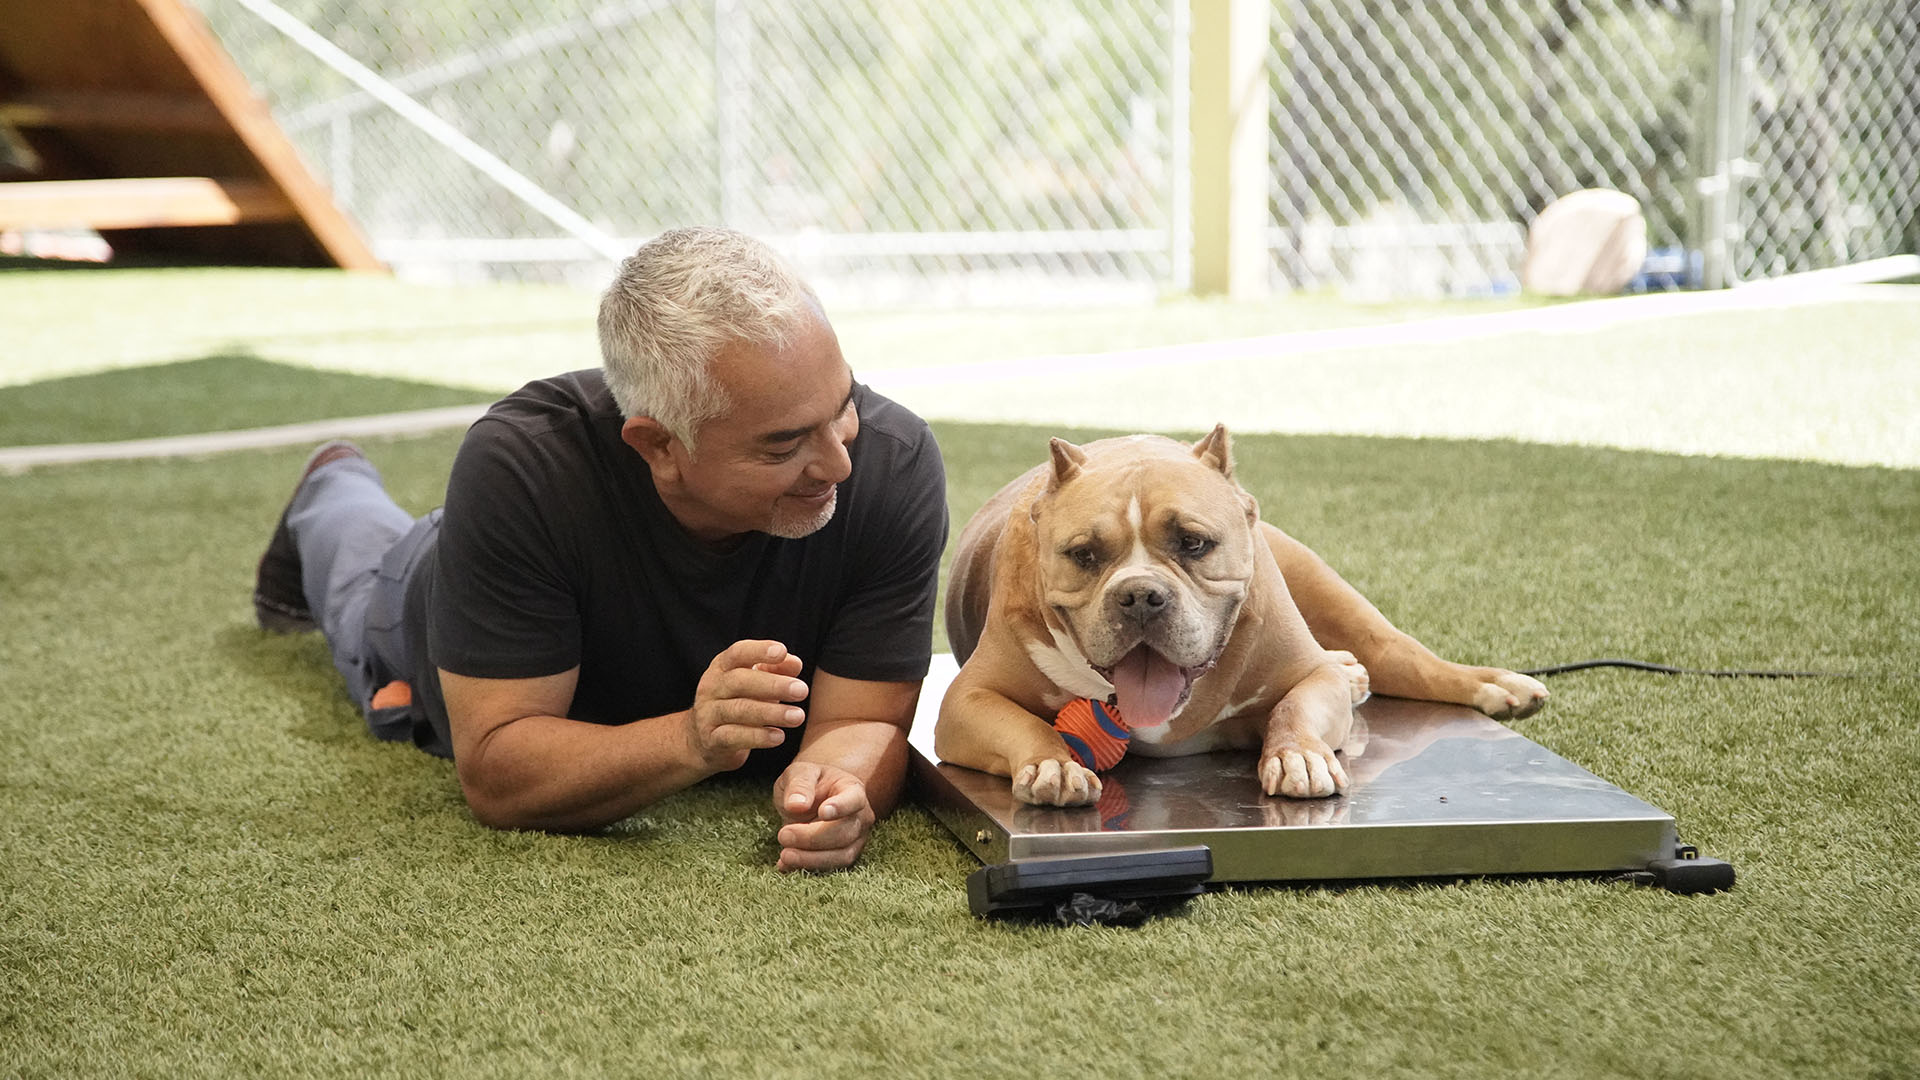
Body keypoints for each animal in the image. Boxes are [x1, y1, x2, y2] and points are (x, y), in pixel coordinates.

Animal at [936, 424, 1551, 803]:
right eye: (1083, 555)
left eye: (1193, 543)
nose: (1139, 595)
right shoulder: (966, 701)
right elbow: (1023, 723)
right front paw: (1055, 764)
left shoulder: (1308, 673)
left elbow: (1296, 706)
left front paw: (1298, 756)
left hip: (1336, 598)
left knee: (1407, 660)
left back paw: (1496, 686)